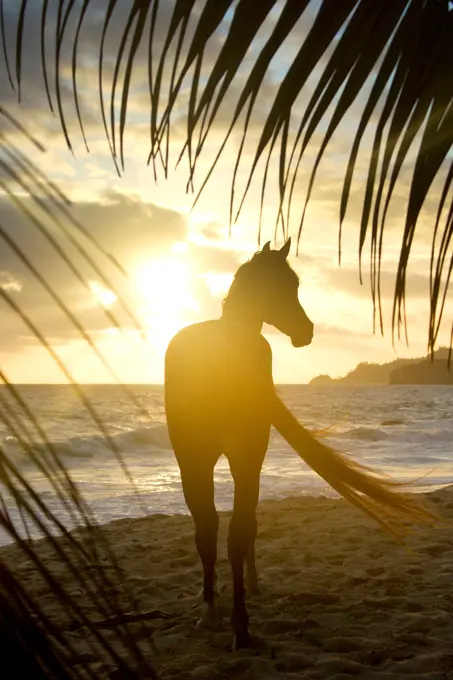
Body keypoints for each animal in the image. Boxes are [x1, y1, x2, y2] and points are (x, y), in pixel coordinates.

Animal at [164, 238, 436, 648]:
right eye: (286, 285)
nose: (305, 330)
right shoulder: (226, 457)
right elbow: (229, 529)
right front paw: (232, 618)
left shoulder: (235, 456)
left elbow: (232, 528)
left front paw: (229, 610)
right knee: (222, 528)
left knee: (224, 527)